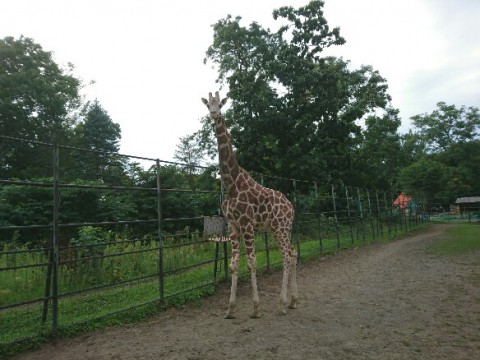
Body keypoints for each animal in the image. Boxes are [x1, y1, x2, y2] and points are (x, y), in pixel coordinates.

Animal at [202, 90, 298, 318]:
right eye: (207, 104)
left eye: (220, 104)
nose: (213, 114)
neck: (232, 184)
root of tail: (291, 207)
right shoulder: (233, 225)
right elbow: (234, 264)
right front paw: (230, 309)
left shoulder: (247, 224)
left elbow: (252, 262)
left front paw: (256, 308)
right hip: (281, 228)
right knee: (293, 253)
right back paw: (292, 301)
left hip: (280, 228)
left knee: (287, 256)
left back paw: (281, 304)